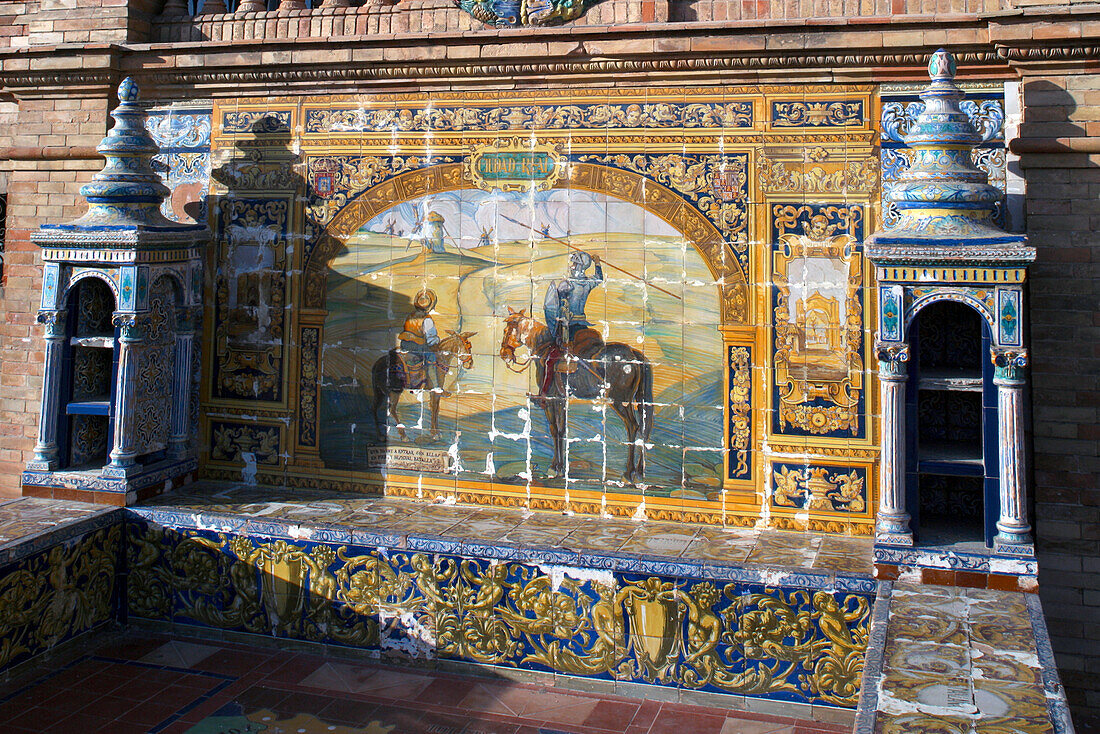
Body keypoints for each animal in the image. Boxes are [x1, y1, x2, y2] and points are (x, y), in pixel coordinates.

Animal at [501, 308, 651, 484]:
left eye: (505, 330)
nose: (503, 353)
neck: (544, 346)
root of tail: (633, 353)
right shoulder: (561, 400)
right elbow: (561, 430)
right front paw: (560, 468)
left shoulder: (551, 401)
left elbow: (555, 430)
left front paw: (554, 467)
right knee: (642, 429)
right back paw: (639, 473)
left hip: (620, 401)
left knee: (632, 427)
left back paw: (628, 474)